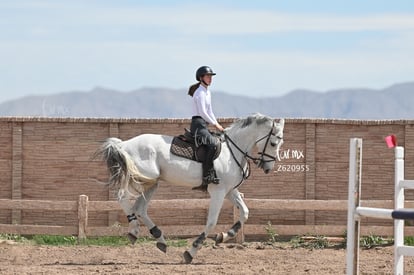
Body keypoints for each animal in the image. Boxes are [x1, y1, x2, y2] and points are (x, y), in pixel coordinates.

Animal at [97, 113, 284, 264]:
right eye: (273, 143)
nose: (268, 168)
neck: (231, 152)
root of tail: (123, 144)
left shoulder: (230, 191)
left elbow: (245, 212)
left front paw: (223, 236)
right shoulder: (218, 192)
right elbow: (211, 222)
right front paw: (192, 251)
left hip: (152, 183)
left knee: (140, 208)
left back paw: (158, 238)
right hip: (141, 179)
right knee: (122, 197)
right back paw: (135, 229)